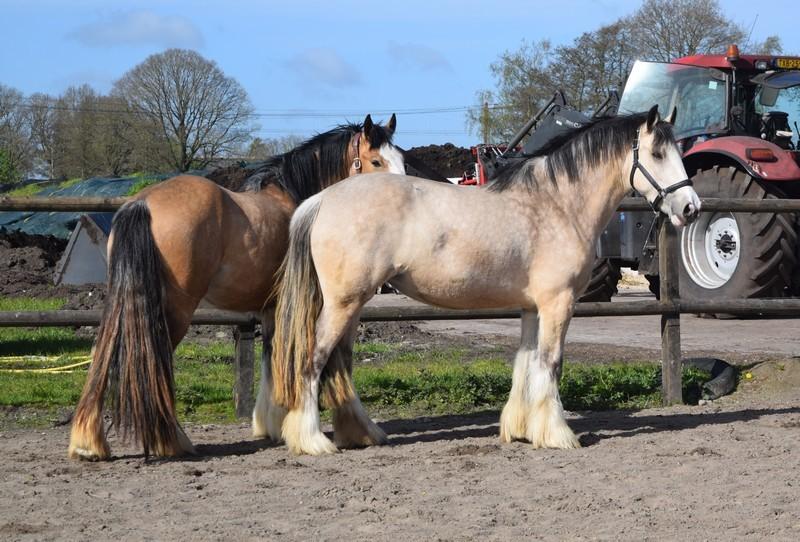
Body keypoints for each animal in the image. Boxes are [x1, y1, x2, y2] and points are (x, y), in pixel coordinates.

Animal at [68, 114, 404, 460]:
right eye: (376, 161)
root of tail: (142, 204)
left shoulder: (270, 308)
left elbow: (270, 360)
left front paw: (271, 424)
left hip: (121, 300)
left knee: (102, 354)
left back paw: (88, 443)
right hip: (174, 310)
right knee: (154, 360)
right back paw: (171, 441)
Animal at [270, 106, 701, 455]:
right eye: (657, 153)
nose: (691, 208)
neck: (557, 205)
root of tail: (322, 199)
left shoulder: (531, 308)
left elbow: (526, 364)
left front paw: (523, 430)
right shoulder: (558, 304)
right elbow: (551, 364)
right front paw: (557, 434)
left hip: (353, 305)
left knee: (338, 362)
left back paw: (361, 434)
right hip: (343, 303)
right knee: (312, 360)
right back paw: (312, 441)